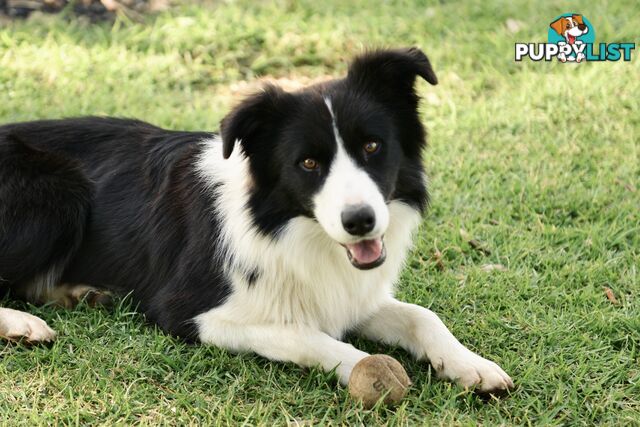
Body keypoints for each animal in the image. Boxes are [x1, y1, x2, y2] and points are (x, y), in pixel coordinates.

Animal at [0, 47, 512, 394]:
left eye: (372, 146)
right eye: (308, 163)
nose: (360, 222)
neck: (288, 227)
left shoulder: (348, 293)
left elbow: (422, 315)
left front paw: (470, 364)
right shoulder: (193, 313)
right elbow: (305, 336)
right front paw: (365, 368)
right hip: (57, 195)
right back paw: (23, 324)